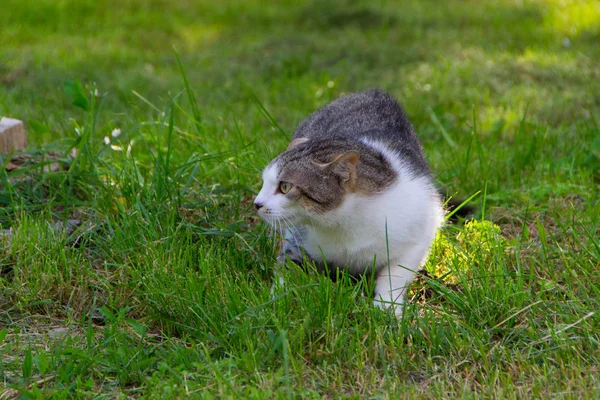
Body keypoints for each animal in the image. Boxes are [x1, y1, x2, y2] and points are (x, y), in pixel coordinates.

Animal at [253, 89, 446, 318]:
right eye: (265, 182)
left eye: (284, 186)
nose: (257, 203)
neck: (344, 223)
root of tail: (373, 91)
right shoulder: (298, 238)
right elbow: (289, 265)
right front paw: (276, 302)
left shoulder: (419, 231)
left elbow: (396, 276)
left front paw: (386, 309)